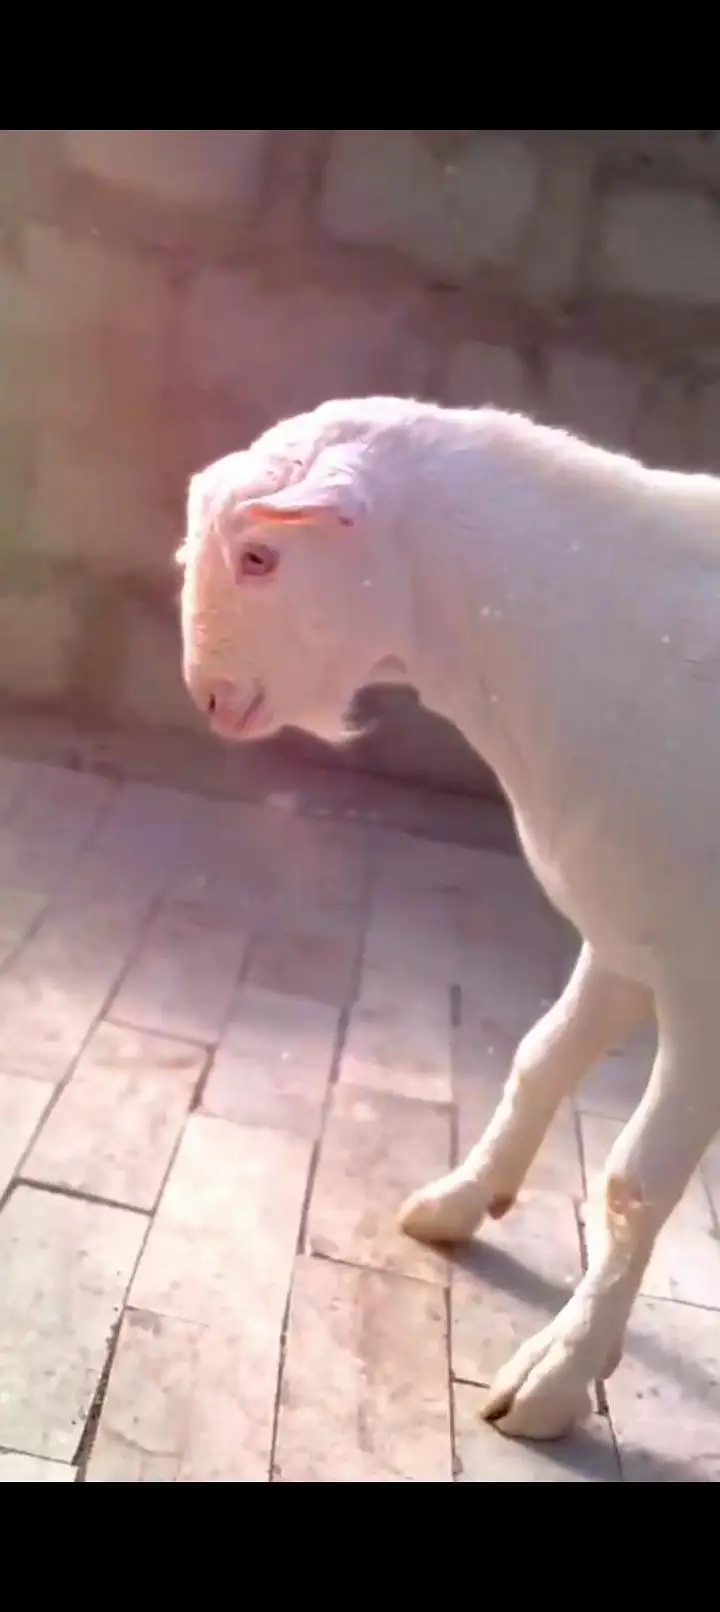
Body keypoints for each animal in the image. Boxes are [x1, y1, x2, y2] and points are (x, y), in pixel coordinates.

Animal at [178, 395, 720, 1440]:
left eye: (260, 557)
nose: (211, 699)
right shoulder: (626, 932)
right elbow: (540, 1057)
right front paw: (461, 1201)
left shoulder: (705, 980)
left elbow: (634, 1183)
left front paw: (556, 1379)